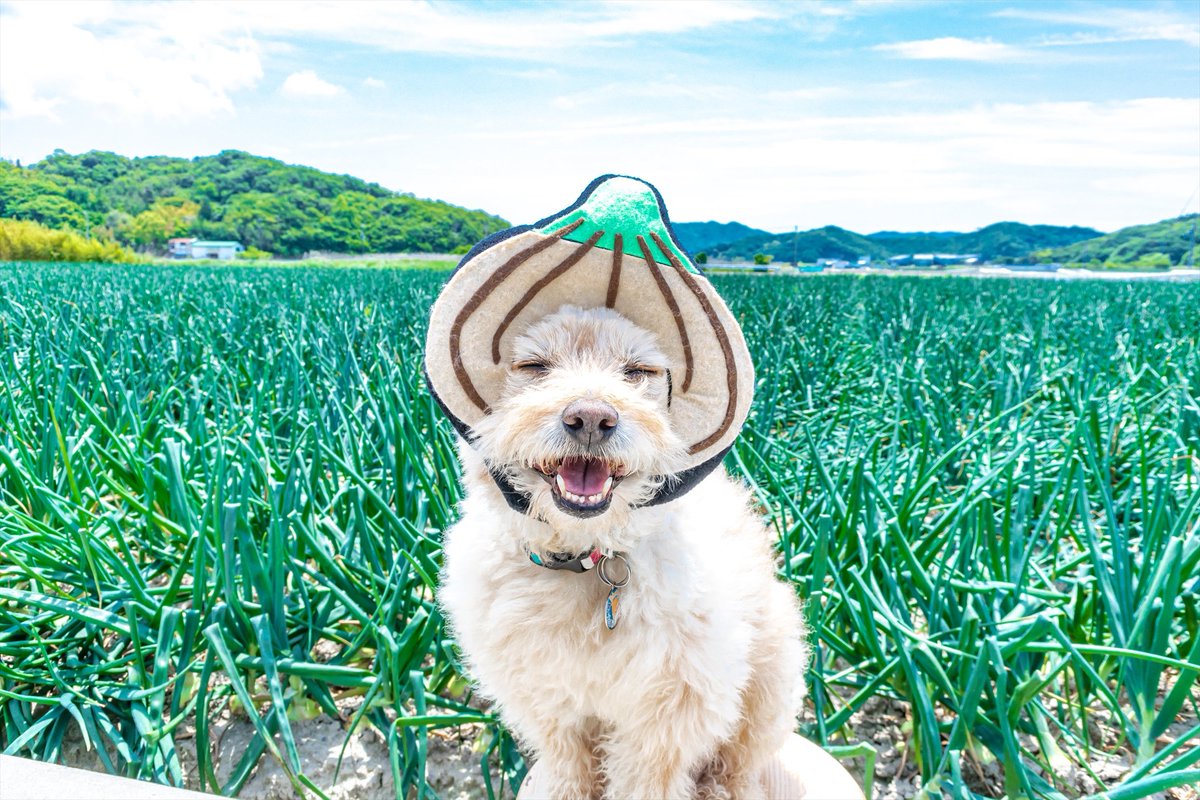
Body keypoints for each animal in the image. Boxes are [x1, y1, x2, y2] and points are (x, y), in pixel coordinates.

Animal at [436, 303, 811, 796]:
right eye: (534, 366)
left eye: (637, 371)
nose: (591, 419)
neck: (587, 557)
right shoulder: (543, 695)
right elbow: (568, 760)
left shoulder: (671, 709)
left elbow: (647, 779)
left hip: (771, 678)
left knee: (736, 762)